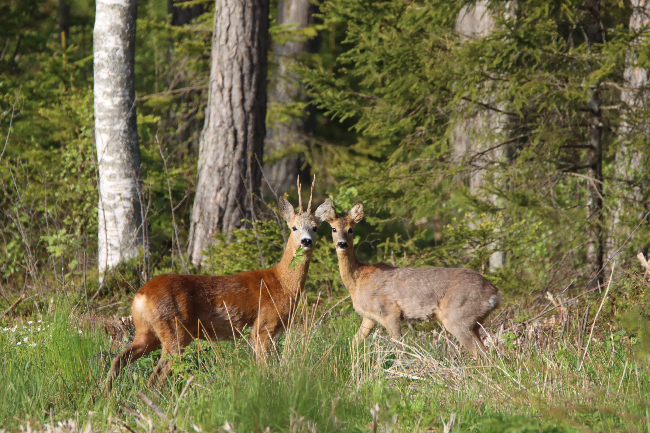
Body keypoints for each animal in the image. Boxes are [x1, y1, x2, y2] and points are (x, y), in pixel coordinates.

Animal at [105, 176, 330, 388]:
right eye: (293, 227)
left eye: (315, 228)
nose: (306, 241)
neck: (281, 283)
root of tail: (140, 295)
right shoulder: (263, 327)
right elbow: (265, 368)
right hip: (174, 328)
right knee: (156, 375)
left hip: (145, 330)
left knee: (119, 359)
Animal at [319, 199, 501, 358]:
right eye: (334, 229)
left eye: (351, 229)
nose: (342, 244)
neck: (357, 281)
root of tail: (495, 293)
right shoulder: (369, 317)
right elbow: (353, 343)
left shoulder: (389, 311)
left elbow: (398, 348)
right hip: (473, 322)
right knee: (488, 354)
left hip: (458, 317)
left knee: (481, 354)